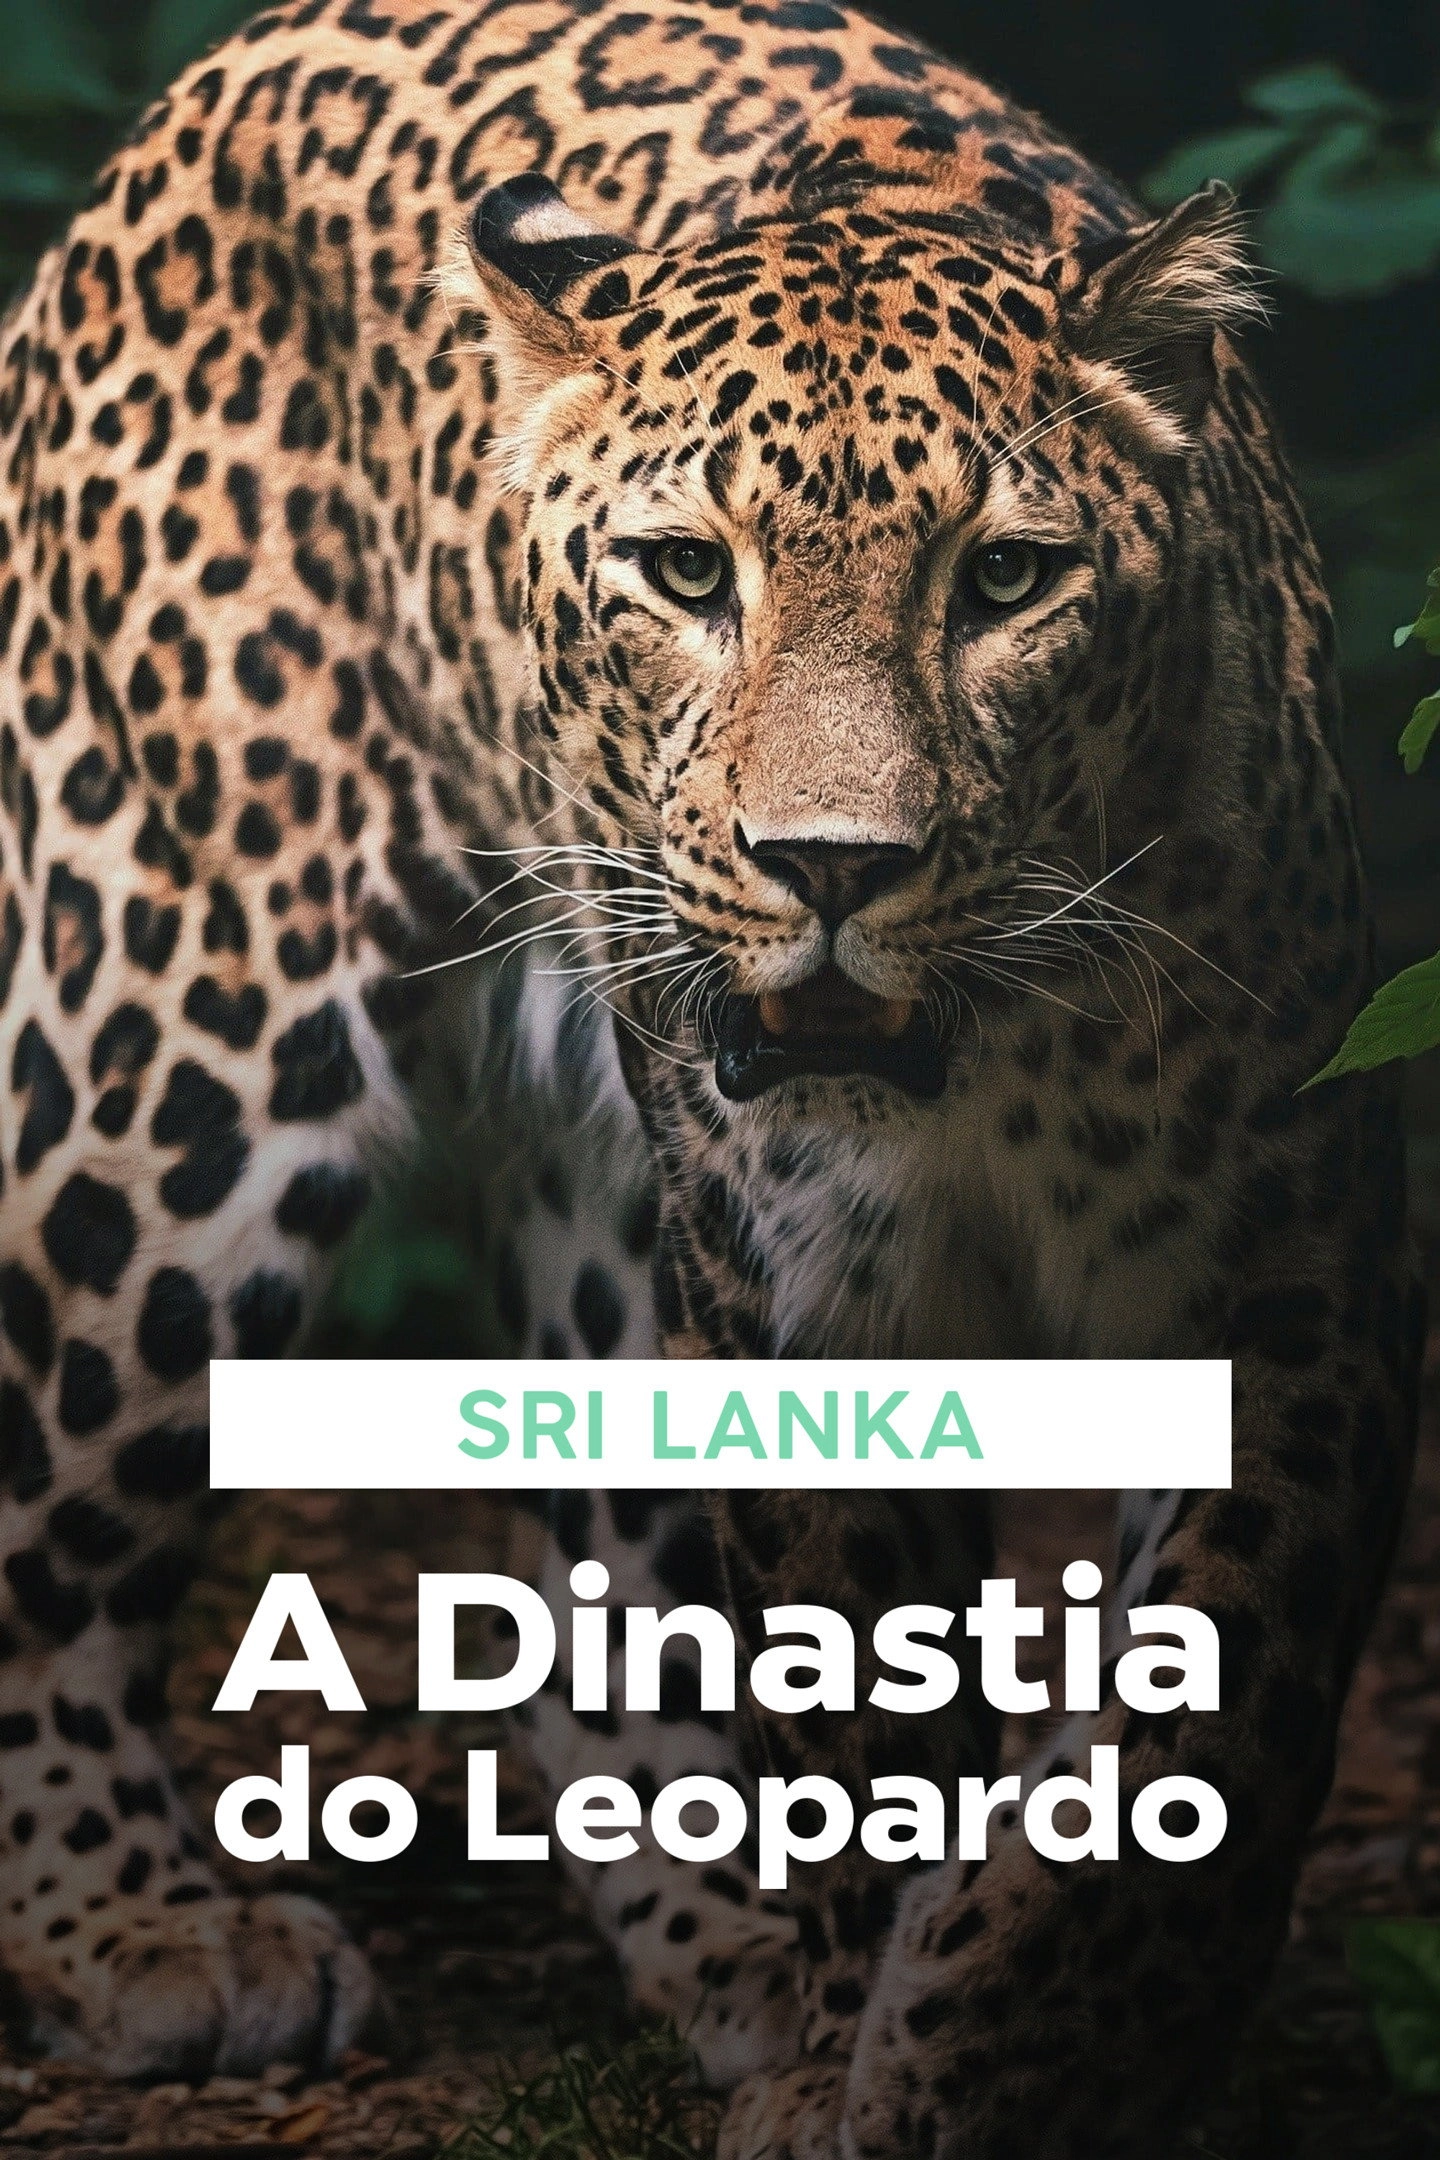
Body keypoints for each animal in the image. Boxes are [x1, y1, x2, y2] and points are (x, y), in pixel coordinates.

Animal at [0, 0, 1425, 2153]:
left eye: (1008, 582)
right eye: (684, 574)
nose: (831, 868)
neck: (987, 1068)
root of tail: (218, 77)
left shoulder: (1291, 1268)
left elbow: (1216, 1700)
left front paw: (1021, 2044)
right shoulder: (809, 1294)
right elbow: (861, 1713)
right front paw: (898, 2065)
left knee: (579, 1598)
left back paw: (731, 1941)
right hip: (173, 1036)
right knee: (49, 1508)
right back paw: (148, 1930)